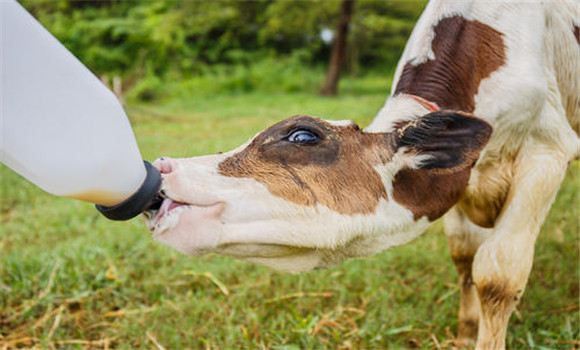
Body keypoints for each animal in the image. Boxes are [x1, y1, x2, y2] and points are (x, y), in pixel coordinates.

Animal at [146, 1, 580, 348]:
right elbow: (463, 256)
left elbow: (497, 275)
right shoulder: (461, 178)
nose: (163, 167)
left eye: (302, 135)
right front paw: (464, 334)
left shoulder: (548, 152)